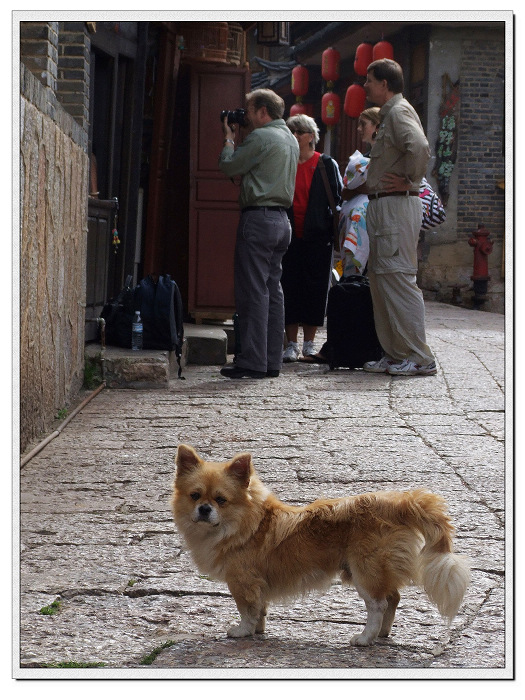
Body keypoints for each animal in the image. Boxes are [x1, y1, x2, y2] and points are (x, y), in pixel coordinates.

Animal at [172, 446, 470, 648]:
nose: (204, 509)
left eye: (221, 500)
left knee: (378, 604)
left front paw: (242, 632)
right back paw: (383, 634)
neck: (242, 524)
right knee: (393, 598)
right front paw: (258, 631)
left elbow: (247, 610)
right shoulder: (258, 583)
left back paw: (365, 637)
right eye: (195, 496)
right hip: (376, 570)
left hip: (365, 571)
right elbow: (260, 610)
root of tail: (400, 503)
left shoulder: (242, 582)